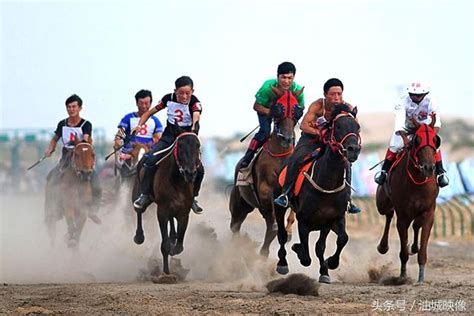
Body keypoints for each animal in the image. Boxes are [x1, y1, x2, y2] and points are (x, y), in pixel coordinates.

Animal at [131, 126, 202, 276]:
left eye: (198, 145)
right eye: (180, 146)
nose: (190, 173)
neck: (178, 181)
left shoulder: (184, 212)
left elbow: (179, 245)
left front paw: (174, 247)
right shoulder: (162, 211)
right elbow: (165, 245)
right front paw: (166, 273)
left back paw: (173, 236)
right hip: (138, 193)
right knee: (139, 210)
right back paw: (139, 236)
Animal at [230, 86, 304, 256]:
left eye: (297, 111)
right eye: (278, 109)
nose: (286, 139)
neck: (281, 156)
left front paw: (288, 232)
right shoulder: (265, 189)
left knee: (268, 230)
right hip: (239, 203)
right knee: (235, 226)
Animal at [272, 104, 362, 284]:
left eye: (357, 127)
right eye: (338, 126)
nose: (353, 150)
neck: (327, 183)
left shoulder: (332, 219)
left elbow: (334, 242)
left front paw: (328, 267)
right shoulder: (304, 220)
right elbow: (306, 256)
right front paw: (298, 249)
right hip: (279, 205)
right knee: (282, 234)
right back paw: (282, 263)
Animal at [374, 117, 440, 282]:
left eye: (436, 140)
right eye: (417, 140)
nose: (429, 167)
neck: (417, 182)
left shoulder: (429, 211)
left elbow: (422, 244)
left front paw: (421, 277)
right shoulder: (403, 215)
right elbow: (403, 250)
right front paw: (402, 276)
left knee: (415, 224)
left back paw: (414, 246)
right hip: (382, 203)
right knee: (388, 214)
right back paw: (383, 246)